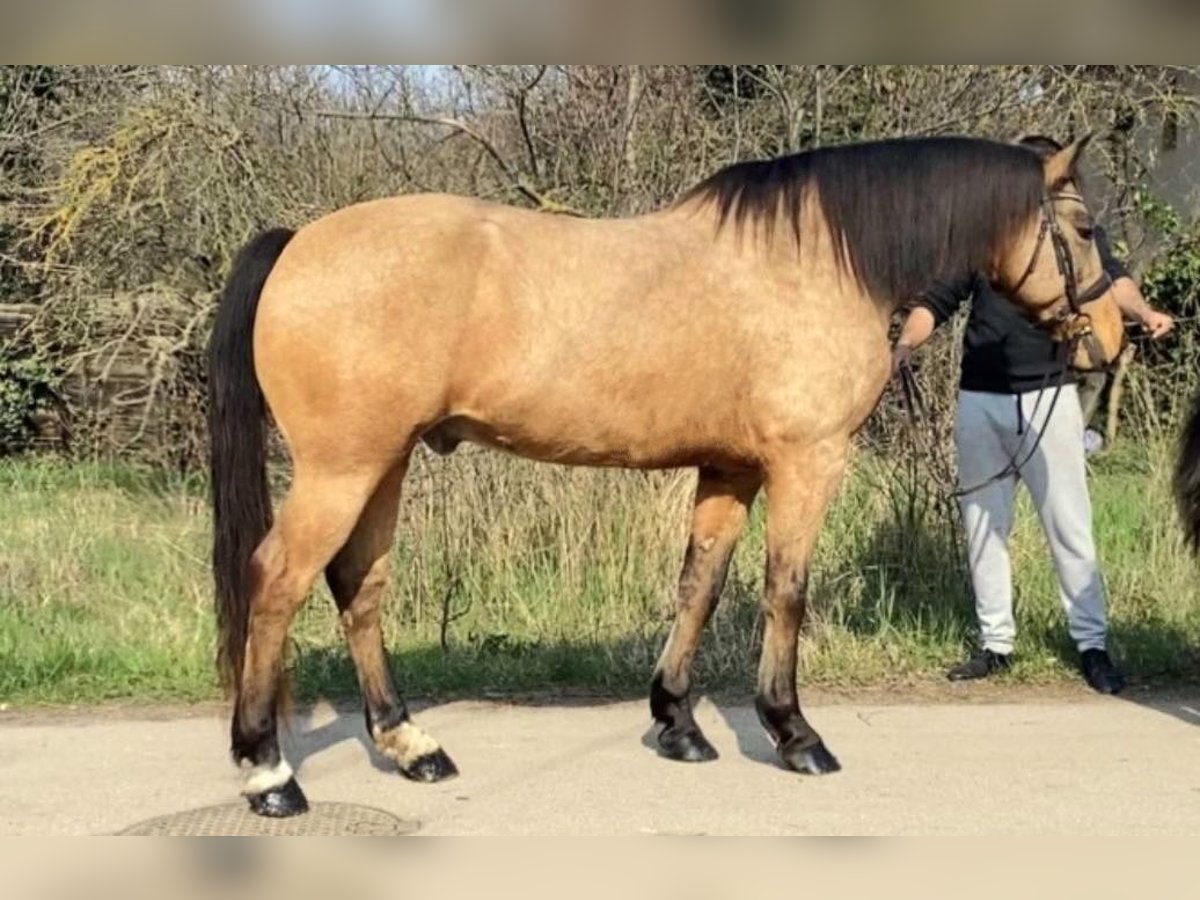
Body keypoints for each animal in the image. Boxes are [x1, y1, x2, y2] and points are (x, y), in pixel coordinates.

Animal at [211, 132, 1128, 816]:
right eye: (1084, 230)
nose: (1117, 336)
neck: (813, 263)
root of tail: (299, 242)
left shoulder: (729, 469)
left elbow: (701, 586)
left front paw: (679, 723)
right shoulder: (806, 462)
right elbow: (785, 590)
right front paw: (794, 734)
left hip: (384, 462)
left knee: (357, 586)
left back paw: (411, 747)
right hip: (341, 470)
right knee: (277, 582)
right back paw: (269, 773)